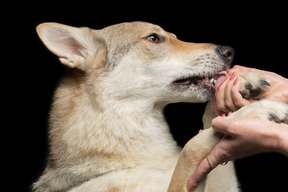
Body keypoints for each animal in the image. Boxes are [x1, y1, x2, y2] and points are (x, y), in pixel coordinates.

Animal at [33, 21, 288, 191]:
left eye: (175, 37)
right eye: (154, 38)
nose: (229, 51)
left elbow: (208, 120)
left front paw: (245, 79)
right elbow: (192, 146)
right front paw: (253, 112)